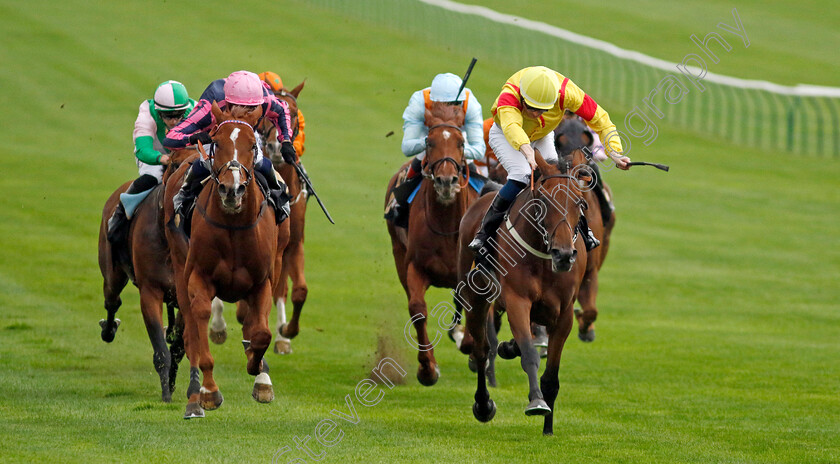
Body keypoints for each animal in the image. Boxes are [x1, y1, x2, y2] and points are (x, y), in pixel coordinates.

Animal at [97, 148, 196, 402]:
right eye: (175, 164)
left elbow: (179, 347)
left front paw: (177, 385)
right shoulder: (150, 292)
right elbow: (161, 351)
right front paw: (166, 395)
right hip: (112, 271)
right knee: (112, 301)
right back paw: (108, 329)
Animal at [164, 103, 288, 418]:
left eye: (252, 145)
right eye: (217, 143)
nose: (232, 190)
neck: (234, 226)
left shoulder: (262, 282)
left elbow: (261, 333)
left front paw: (258, 370)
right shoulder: (198, 277)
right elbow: (199, 323)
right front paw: (208, 392)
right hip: (180, 265)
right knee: (190, 331)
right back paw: (194, 397)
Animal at [210, 80, 308, 356]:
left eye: (294, 115)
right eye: (264, 121)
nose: (276, 148)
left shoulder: (293, 244)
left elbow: (296, 291)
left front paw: (286, 333)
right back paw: (219, 326)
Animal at [384, 103, 476, 386]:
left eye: (461, 142)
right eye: (429, 141)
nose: (446, 181)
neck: (447, 226)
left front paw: (470, 343)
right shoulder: (415, 267)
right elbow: (417, 310)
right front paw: (427, 368)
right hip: (398, 254)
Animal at [456, 150, 588, 436]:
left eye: (580, 203)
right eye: (544, 201)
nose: (563, 255)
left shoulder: (564, 314)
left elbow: (551, 375)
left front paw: (548, 427)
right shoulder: (517, 301)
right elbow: (529, 354)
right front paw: (537, 402)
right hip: (476, 297)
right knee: (482, 350)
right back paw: (483, 405)